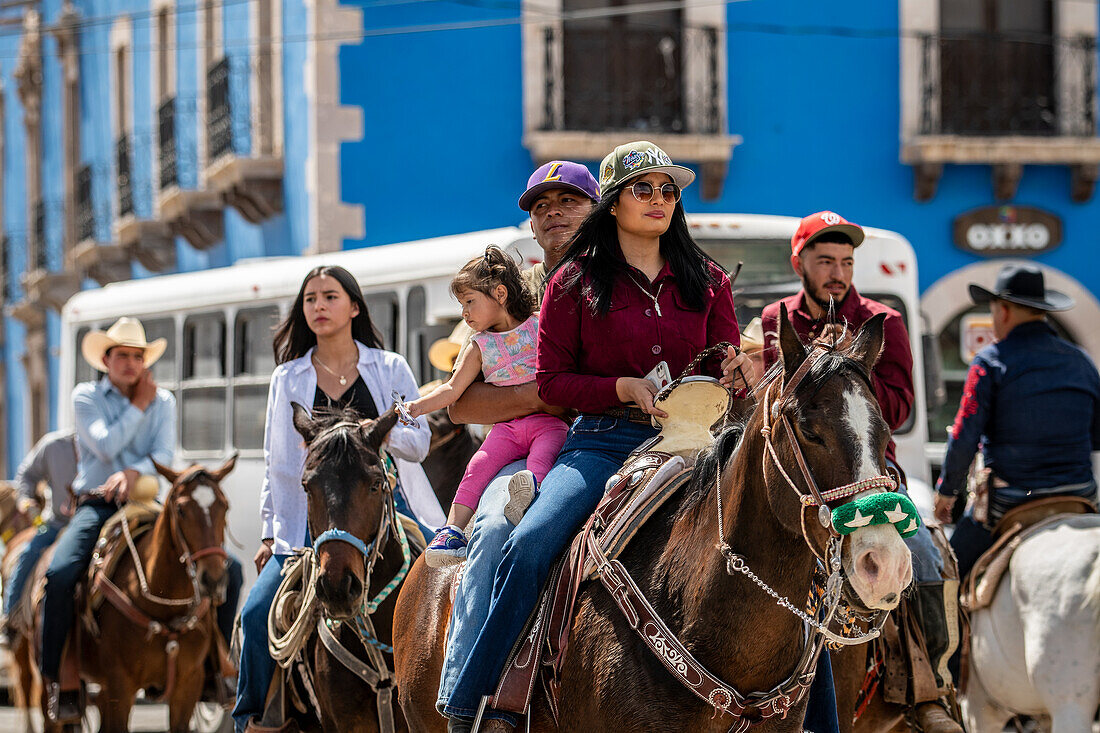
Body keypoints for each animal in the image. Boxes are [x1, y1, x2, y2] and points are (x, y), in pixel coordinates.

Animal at [22, 457, 236, 730]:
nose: (214, 579)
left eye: (225, 507)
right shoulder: (119, 687)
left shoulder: (188, 684)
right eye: (181, 509)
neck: (165, 607)